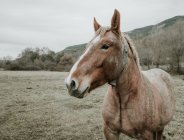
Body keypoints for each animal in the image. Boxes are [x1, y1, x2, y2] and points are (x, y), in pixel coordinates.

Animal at [65, 9, 175, 139]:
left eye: (106, 46)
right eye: (87, 46)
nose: (70, 83)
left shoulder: (147, 134)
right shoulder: (110, 131)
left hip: (160, 129)